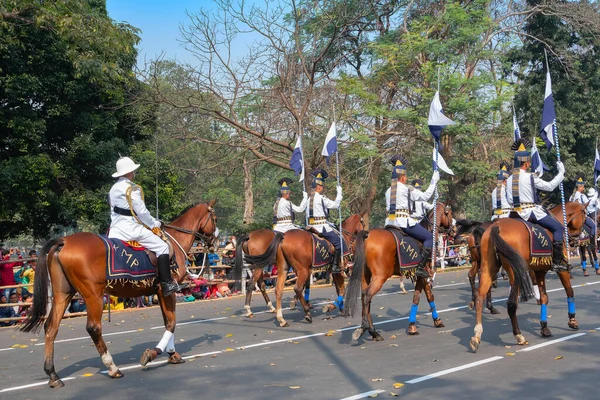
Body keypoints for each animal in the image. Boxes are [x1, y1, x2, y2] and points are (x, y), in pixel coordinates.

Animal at [18, 202, 220, 386]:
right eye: (215, 219)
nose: (216, 242)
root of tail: (64, 241)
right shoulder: (167, 292)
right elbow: (171, 324)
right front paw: (155, 354)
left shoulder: (161, 293)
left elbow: (168, 323)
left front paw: (172, 354)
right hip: (94, 296)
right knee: (93, 328)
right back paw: (112, 367)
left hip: (63, 294)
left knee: (51, 327)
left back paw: (53, 375)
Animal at [236, 214, 364, 326]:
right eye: (362, 222)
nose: (365, 234)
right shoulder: (334, 269)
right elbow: (340, 289)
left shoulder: (313, 269)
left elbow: (318, 286)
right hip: (265, 267)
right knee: (254, 284)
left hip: (275, 268)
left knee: (271, 287)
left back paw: (277, 314)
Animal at [344, 203, 452, 340]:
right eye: (450, 213)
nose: (453, 229)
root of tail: (366, 236)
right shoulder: (423, 274)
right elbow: (423, 296)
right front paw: (424, 324)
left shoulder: (420, 275)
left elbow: (424, 296)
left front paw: (425, 323)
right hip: (380, 277)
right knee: (367, 295)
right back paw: (367, 328)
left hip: (365, 276)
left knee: (364, 296)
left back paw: (372, 331)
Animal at [468, 202, 584, 352]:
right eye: (584, 215)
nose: (577, 239)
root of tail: (496, 227)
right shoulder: (561, 270)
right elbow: (569, 291)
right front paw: (572, 320)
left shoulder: (539, 271)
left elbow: (544, 297)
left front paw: (544, 327)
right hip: (515, 272)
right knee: (511, 304)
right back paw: (519, 336)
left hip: (488, 267)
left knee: (479, 294)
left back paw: (476, 335)